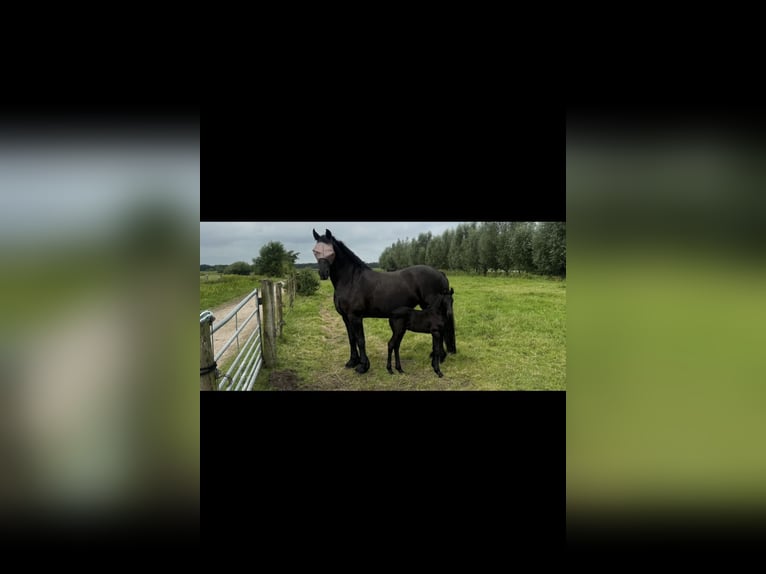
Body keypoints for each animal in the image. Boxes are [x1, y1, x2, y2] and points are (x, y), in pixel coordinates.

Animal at [312, 228, 457, 374]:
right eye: (315, 251)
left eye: (331, 251)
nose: (323, 273)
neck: (351, 280)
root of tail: (440, 273)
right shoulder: (345, 317)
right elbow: (351, 339)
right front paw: (352, 361)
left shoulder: (355, 317)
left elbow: (360, 340)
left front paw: (363, 366)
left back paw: (440, 358)